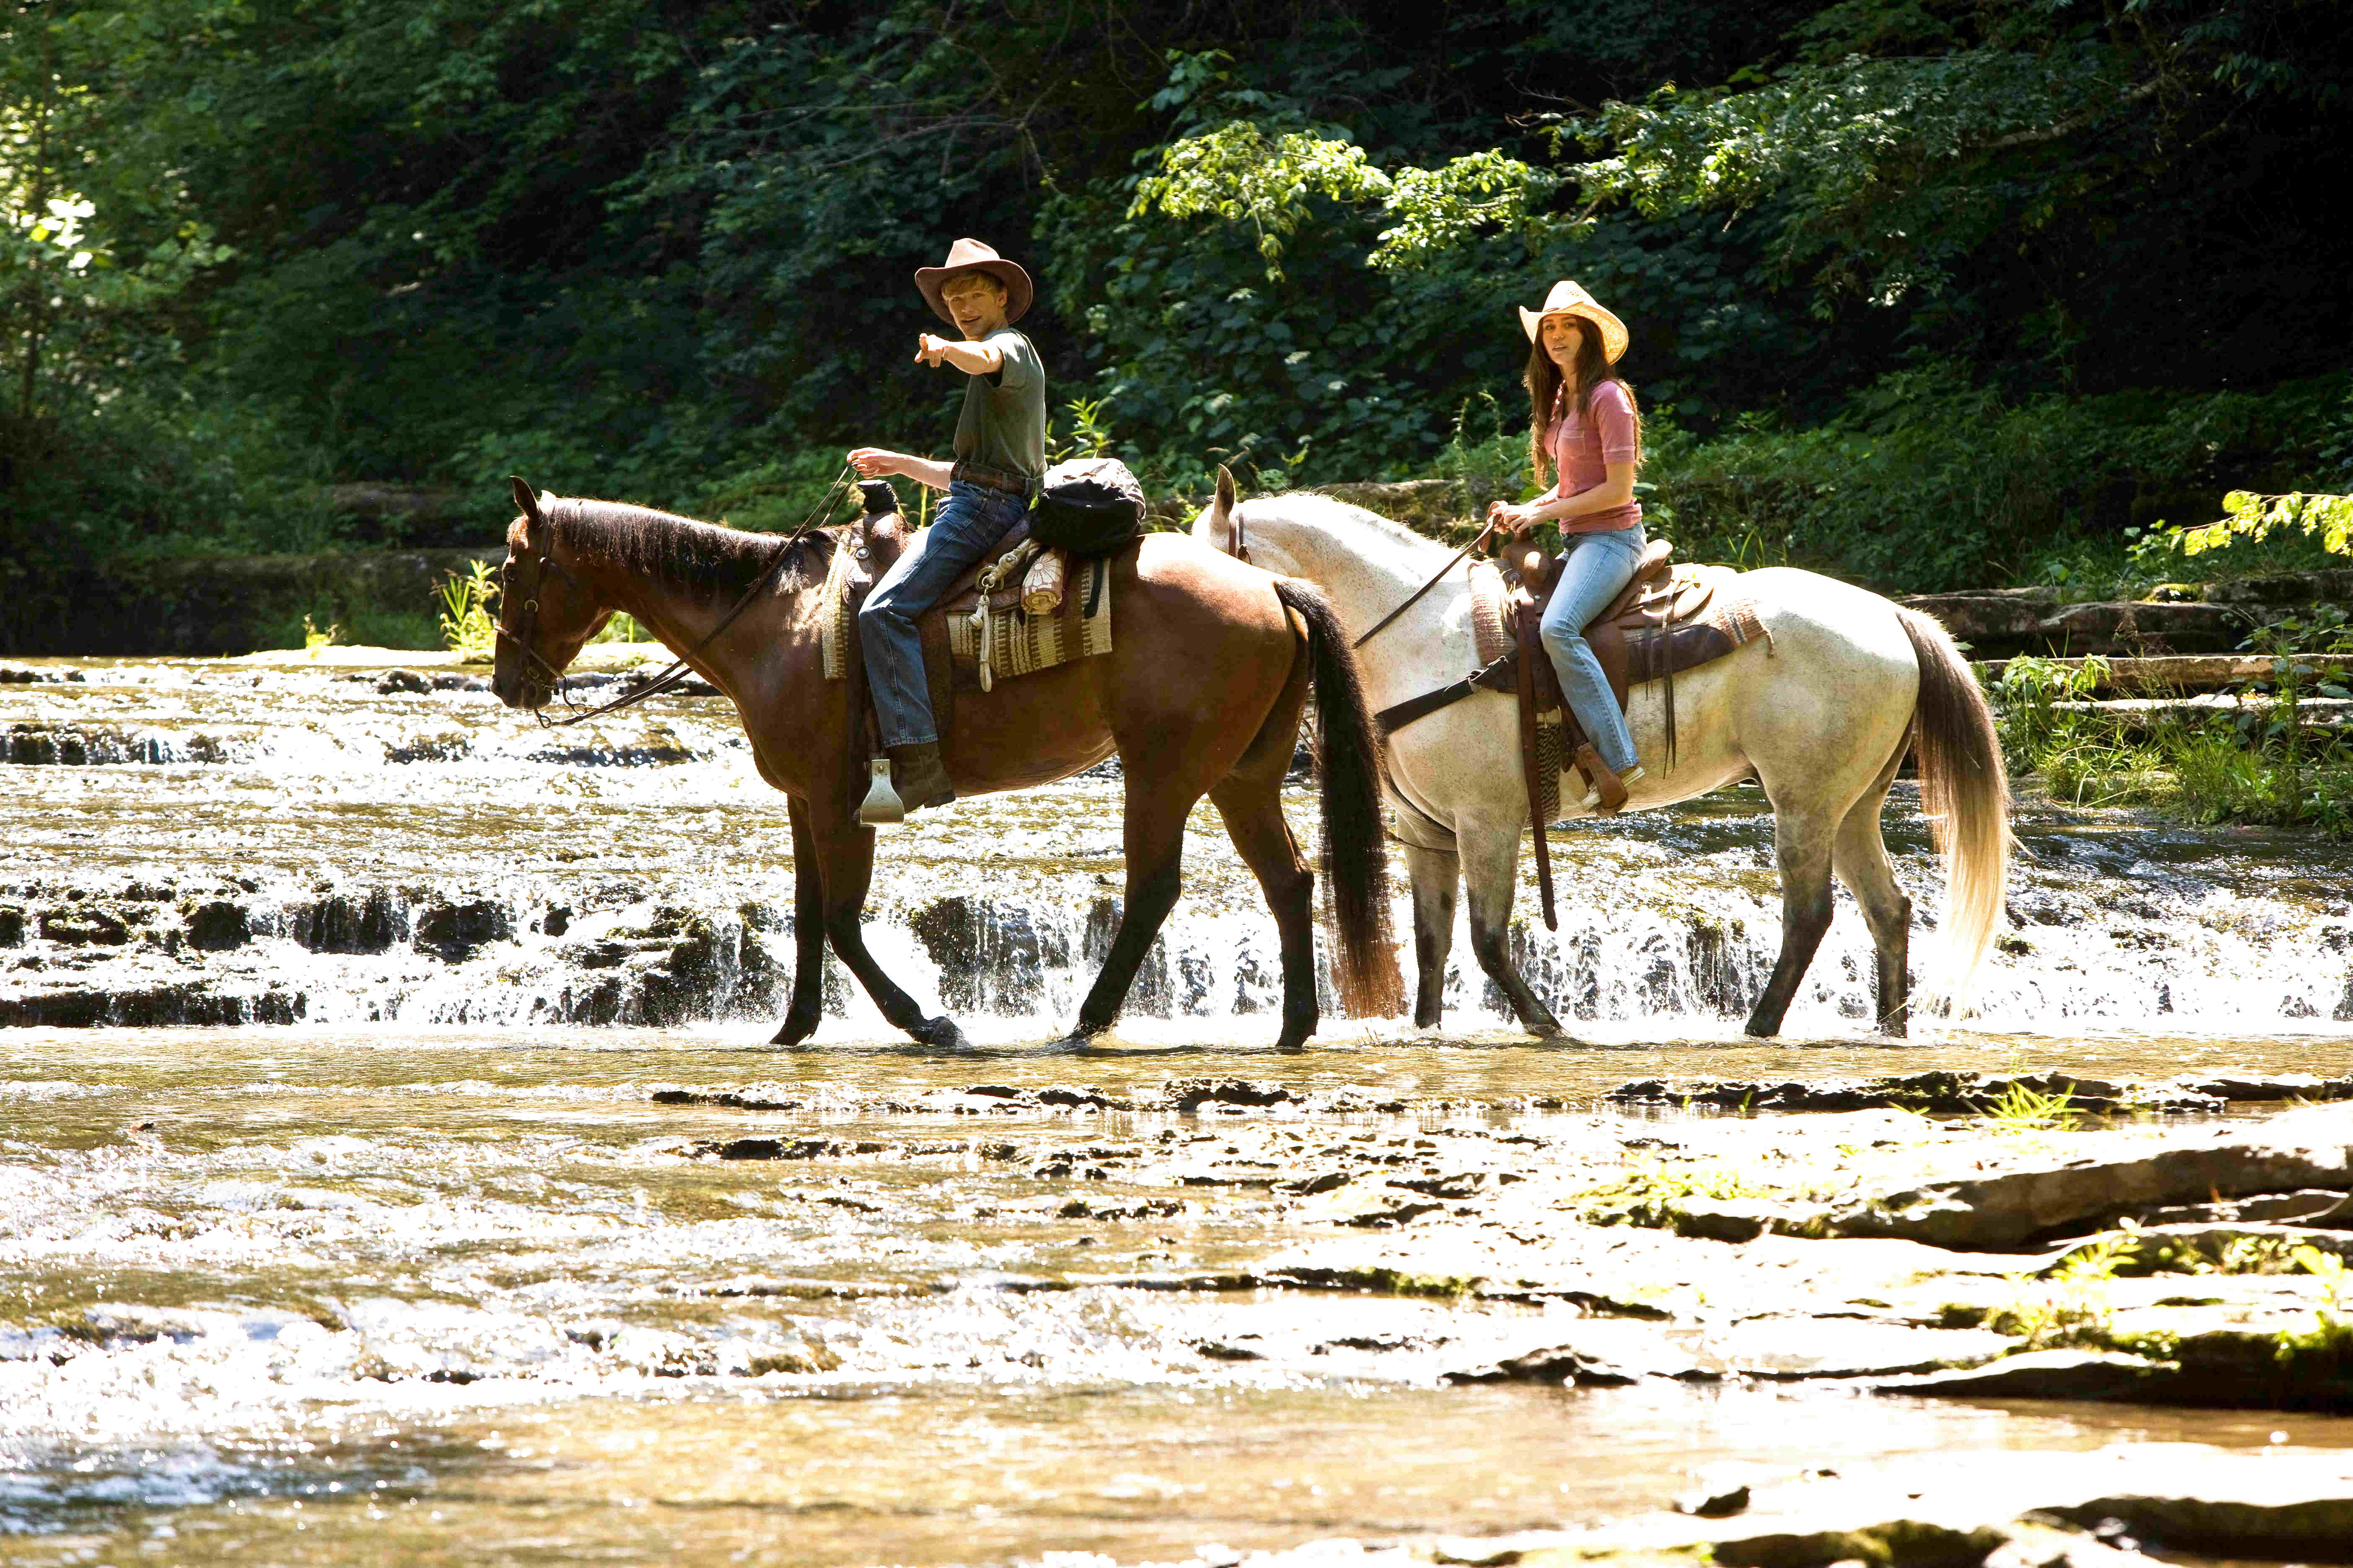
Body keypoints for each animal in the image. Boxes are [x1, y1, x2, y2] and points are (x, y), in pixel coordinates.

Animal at [485, 473, 1384, 1036]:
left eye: (511, 570)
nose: (505, 684)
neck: (774, 625)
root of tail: (1270, 587)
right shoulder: (803, 799)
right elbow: (808, 912)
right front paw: (793, 1027)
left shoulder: (840, 797)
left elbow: (842, 920)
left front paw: (925, 1021)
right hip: (1242, 774)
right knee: (1289, 881)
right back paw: (1294, 1025)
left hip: (1164, 774)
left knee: (1153, 889)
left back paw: (1088, 1020)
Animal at [1205, 473, 2014, 1036]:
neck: (1419, 633)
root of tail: (1893, 616)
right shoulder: (1427, 830)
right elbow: (1430, 942)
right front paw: (1426, 1031)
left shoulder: (1487, 823)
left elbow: (1486, 939)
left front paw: (1544, 1023)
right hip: (1852, 805)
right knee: (1887, 910)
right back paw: (1886, 1027)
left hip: (1803, 802)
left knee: (1809, 915)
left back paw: (1759, 1025)